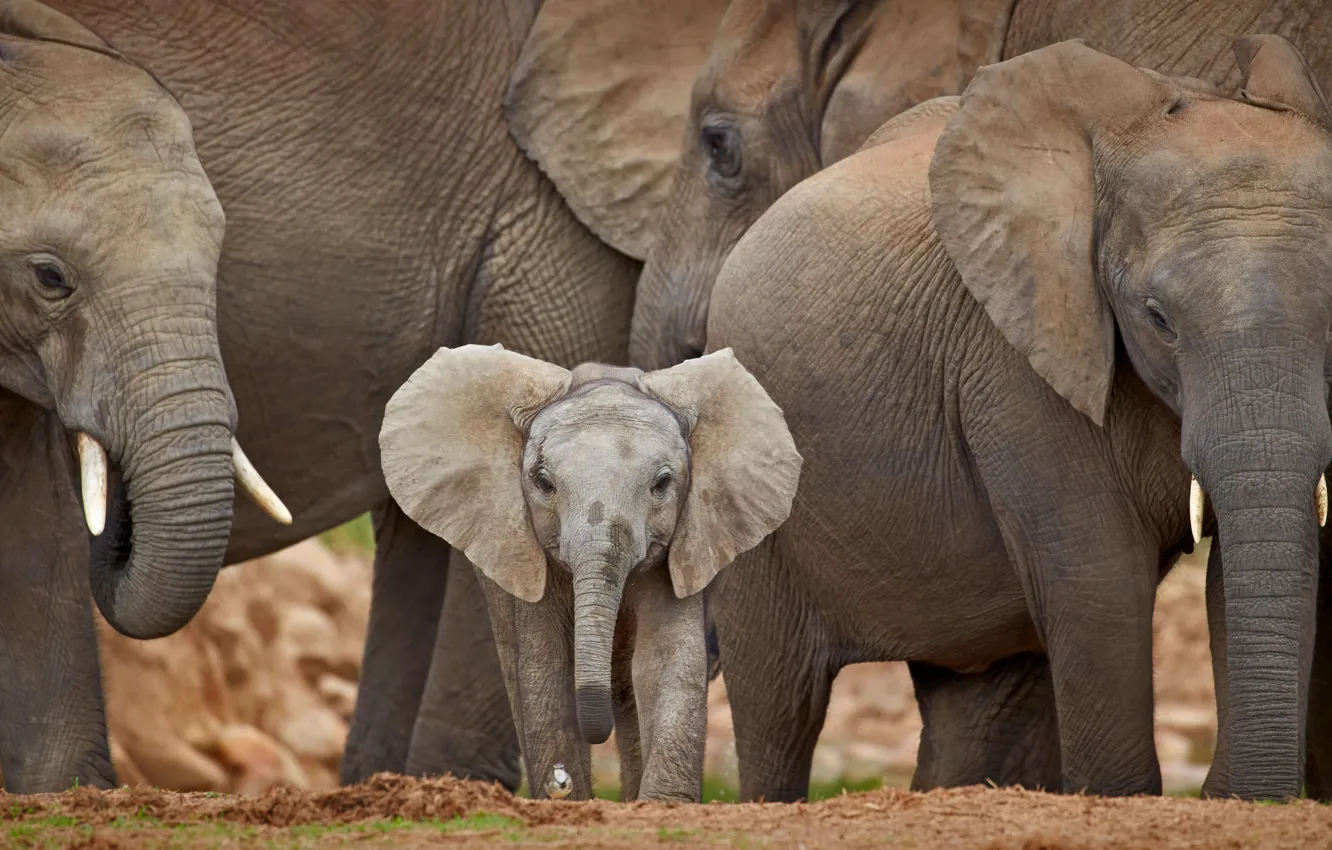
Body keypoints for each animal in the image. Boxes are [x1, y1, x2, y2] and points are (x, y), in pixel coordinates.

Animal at [376, 344, 801, 802]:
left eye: (662, 484)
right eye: (543, 483)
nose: (559, 779)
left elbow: (665, 661)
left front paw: (661, 805)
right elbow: (546, 667)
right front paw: (568, 796)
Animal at [703, 35, 1332, 803]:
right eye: (1156, 318)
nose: (1222, 790)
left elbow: (1260, 565)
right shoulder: (1013, 365)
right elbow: (1099, 582)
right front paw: (1121, 797)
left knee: (969, 702)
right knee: (781, 702)